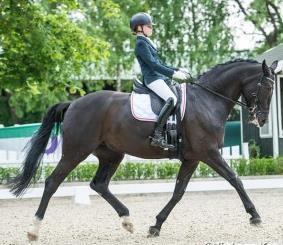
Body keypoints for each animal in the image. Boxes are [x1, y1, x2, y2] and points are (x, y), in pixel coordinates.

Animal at [9, 58, 280, 240]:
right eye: (266, 88)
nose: (261, 120)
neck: (208, 100)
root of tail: (74, 103)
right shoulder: (209, 153)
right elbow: (235, 179)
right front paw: (255, 216)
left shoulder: (192, 158)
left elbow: (178, 192)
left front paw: (156, 226)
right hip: (76, 152)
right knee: (52, 182)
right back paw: (33, 230)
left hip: (111, 154)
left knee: (99, 184)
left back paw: (128, 221)